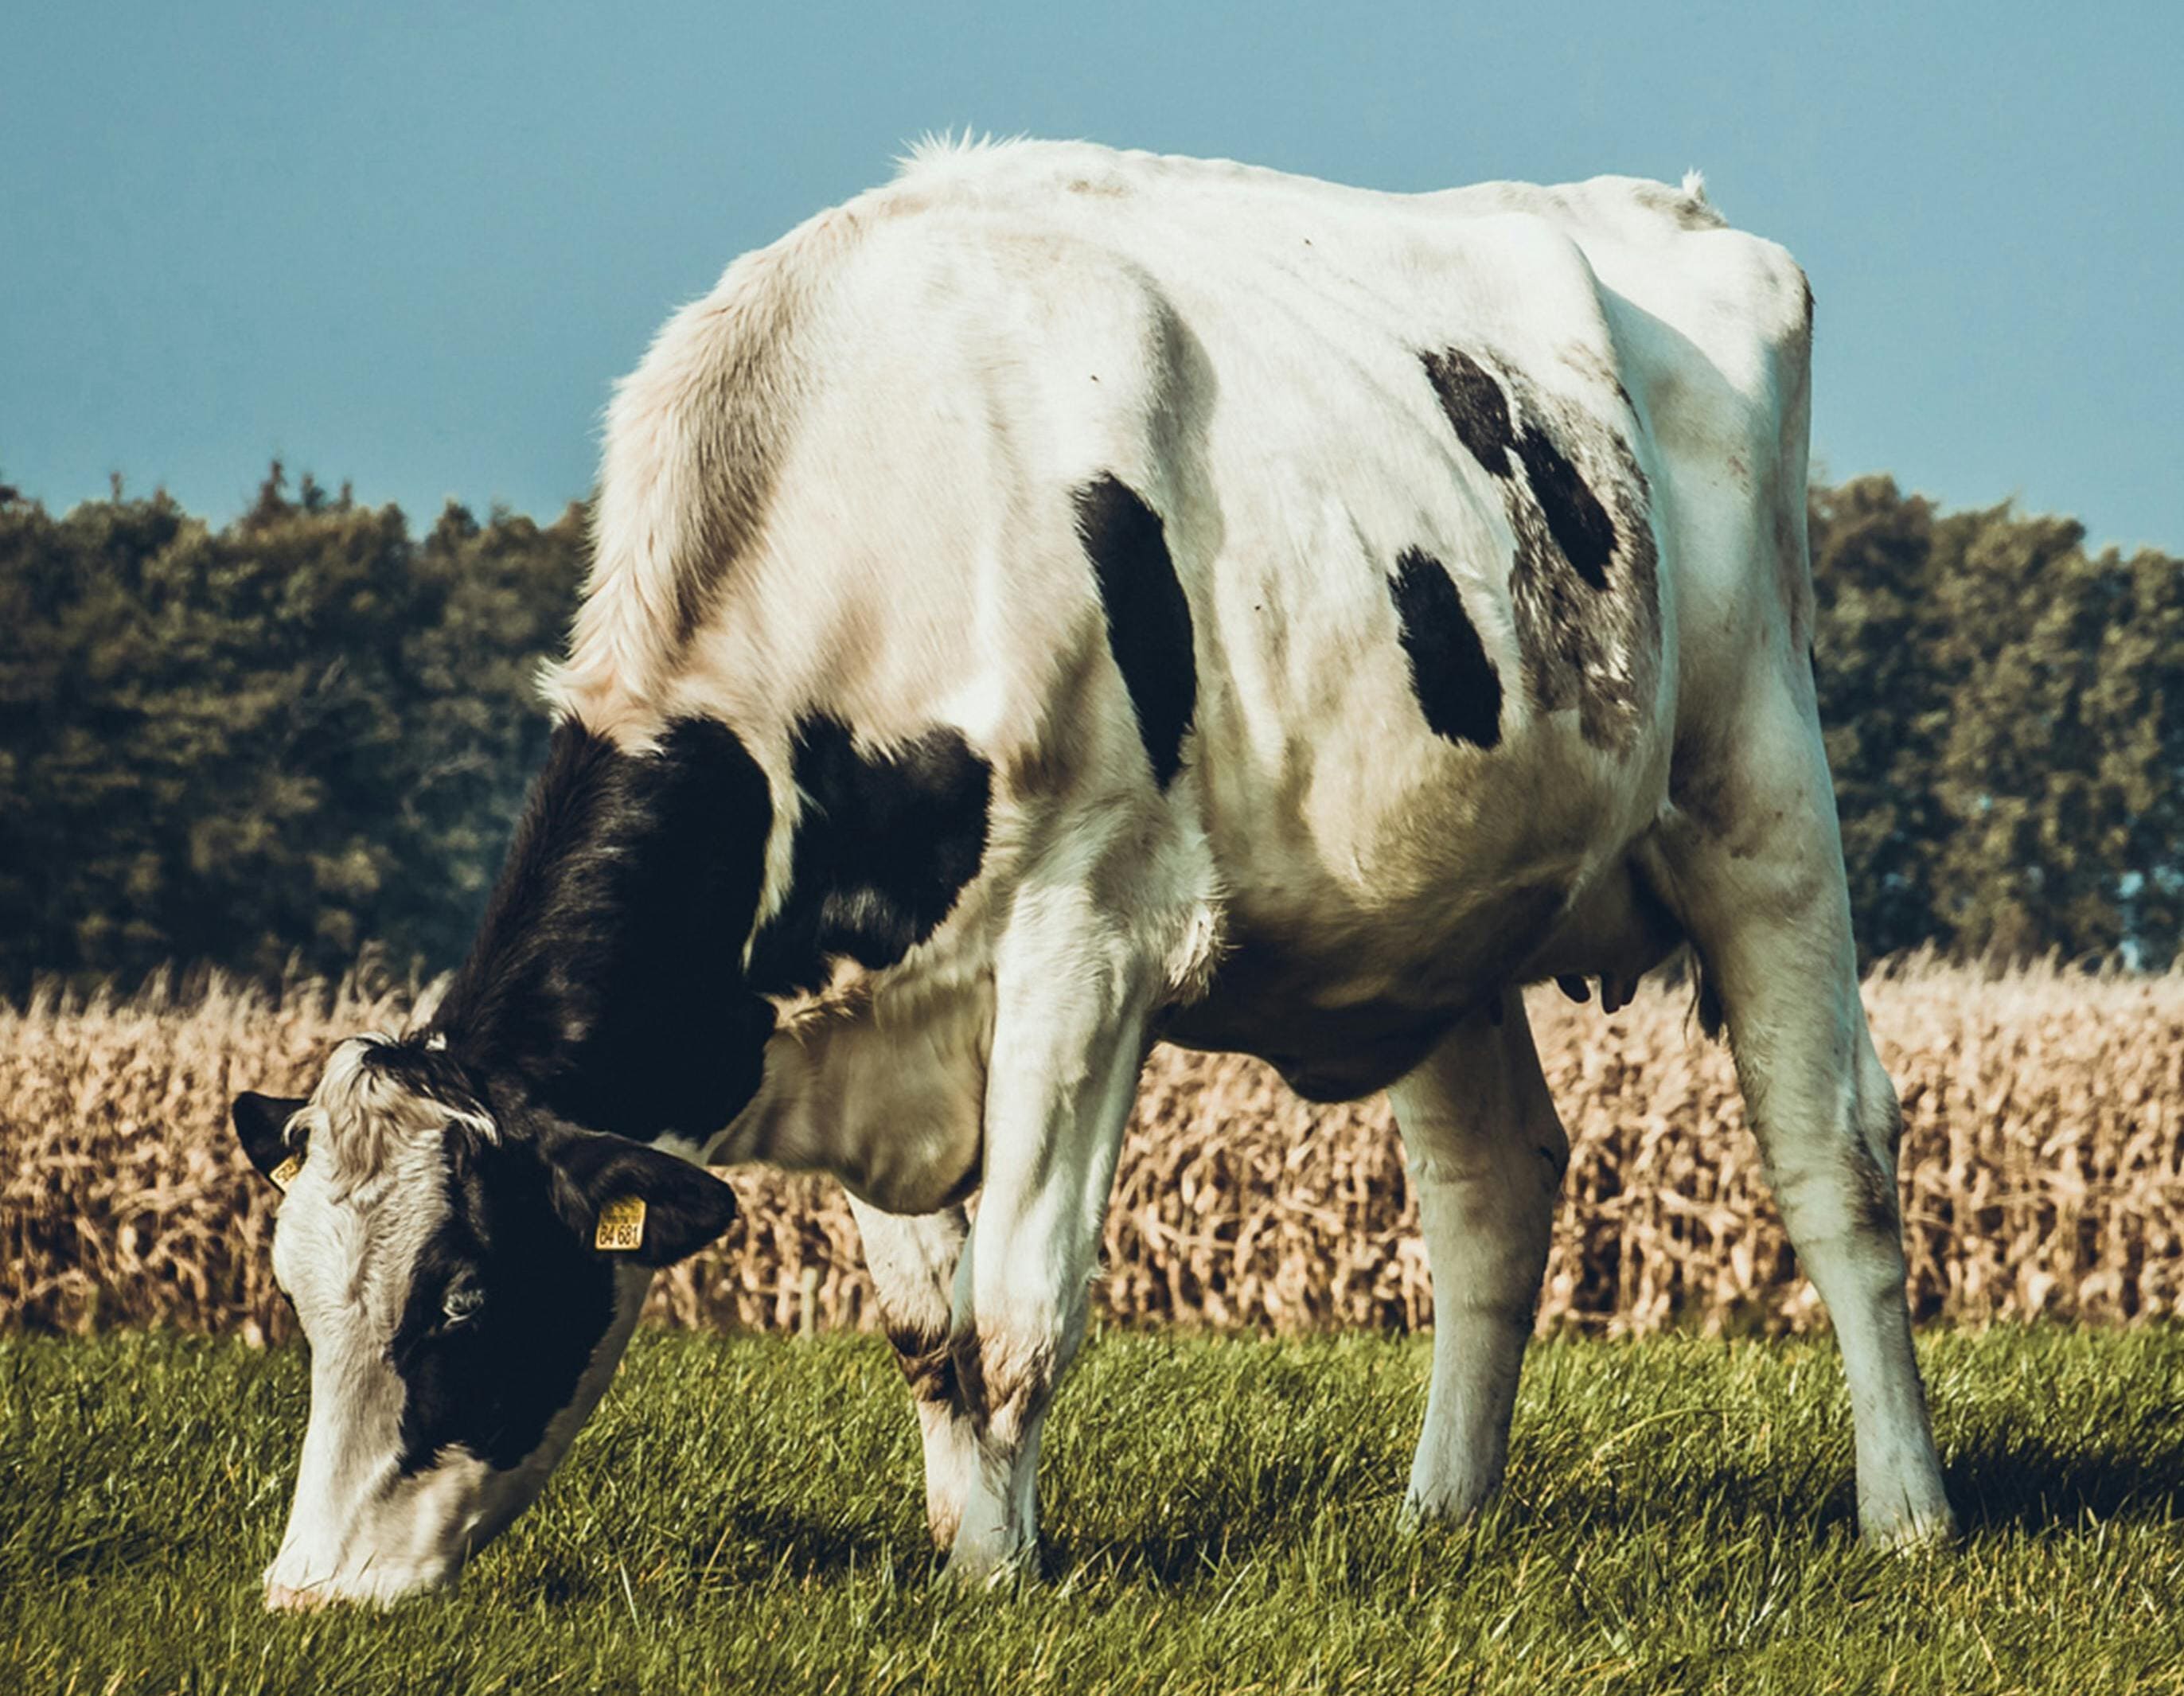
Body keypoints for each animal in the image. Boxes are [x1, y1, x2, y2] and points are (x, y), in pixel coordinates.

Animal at [230, 138, 1956, 1606]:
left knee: (1832, 1157)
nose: (306, 1593)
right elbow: (924, 1331)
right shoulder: (859, 1015)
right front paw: (963, 1551)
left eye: (459, 1300)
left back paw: (1908, 1512)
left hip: (1761, 795)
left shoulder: (1089, 943)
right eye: (301, 1301)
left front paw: (1003, 1588)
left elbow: (1015, 1308)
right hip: (1440, 915)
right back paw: (1439, 1514)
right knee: (1493, 1192)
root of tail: (1669, 207)